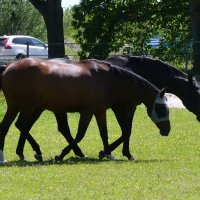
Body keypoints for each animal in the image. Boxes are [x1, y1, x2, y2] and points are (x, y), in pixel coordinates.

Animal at [0, 57, 170, 162]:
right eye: (162, 109)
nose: (167, 130)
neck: (106, 79)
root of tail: (8, 67)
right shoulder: (87, 111)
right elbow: (80, 134)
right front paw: (61, 155)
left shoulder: (100, 111)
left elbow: (104, 133)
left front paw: (108, 154)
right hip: (28, 107)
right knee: (21, 125)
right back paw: (35, 151)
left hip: (16, 107)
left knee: (6, 127)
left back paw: (8, 156)